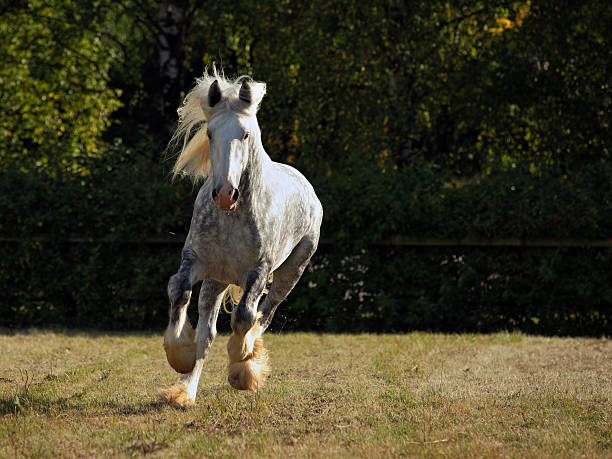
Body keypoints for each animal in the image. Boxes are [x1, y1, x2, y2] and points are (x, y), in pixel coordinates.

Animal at [160, 70, 322, 408]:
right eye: (210, 133)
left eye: (245, 135)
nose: (225, 194)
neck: (232, 218)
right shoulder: (196, 261)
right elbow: (179, 291)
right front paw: (179, 355)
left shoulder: (258, 271)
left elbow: (245, 315)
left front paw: (241, 364)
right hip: (216, 280)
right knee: (207, 333)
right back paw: (186, 391)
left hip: (291, 271)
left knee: (265, 314)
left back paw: (248, 361)